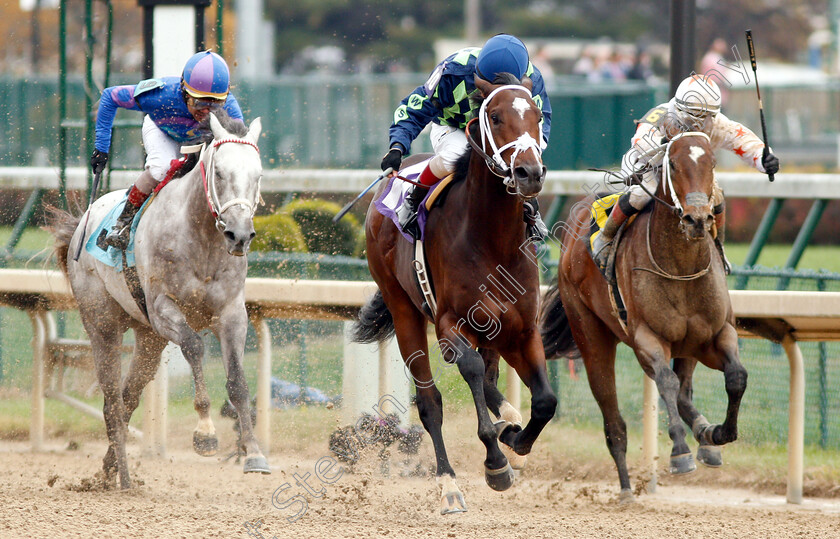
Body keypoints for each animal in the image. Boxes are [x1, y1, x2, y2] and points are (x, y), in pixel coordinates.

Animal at [48, 113, 270, 490]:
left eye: (257, 176)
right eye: (220, 173)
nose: (239, 235)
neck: (201, 238)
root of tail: (82, 223)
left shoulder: (231, 313)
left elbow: (238, 381)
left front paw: (254, 454)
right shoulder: (163, 307)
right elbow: (194, 346)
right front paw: (205, 433)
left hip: (148, 338)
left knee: (128, 398)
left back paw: (110, 469)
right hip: (103, 324)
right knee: (112, 402)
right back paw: (123, 478)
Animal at [354, 75, 556, 516]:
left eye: (536, 115)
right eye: (494, 116)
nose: (529, 172)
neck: (492, 239)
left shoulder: (522, 330)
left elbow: (546, 400)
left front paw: (516, 439)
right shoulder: (450, 324)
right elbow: (470, 372)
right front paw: (496, 462)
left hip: (494, 332)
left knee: (493, 377)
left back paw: (508, 419)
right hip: (404, 309)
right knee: (431, 402)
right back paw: (449, 485)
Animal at [540, 132, 752, 502]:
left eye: (712, 162)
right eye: (674, 165)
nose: (698, 219)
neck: (681, 268)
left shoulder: (714, 335)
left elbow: (736, 376)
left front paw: (719, 433)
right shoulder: (647, 339)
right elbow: (666, 382)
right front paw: (680, 452)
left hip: (688, 347)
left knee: (684, 392)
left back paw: (705, 438)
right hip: (591, 335)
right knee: (614, 420)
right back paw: (626, 487)